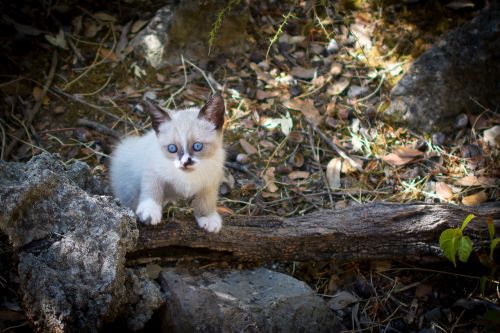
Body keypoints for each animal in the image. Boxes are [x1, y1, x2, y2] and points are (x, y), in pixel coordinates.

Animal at [111, 92, 227, 233]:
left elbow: (207, 199)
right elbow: (152, 188)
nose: (185, 162)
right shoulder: (153, 169)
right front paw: (150, 211)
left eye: (197, 146)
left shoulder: (211, 179)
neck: (187, 177)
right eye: (172, 148)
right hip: (128, 187)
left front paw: (208, 217)